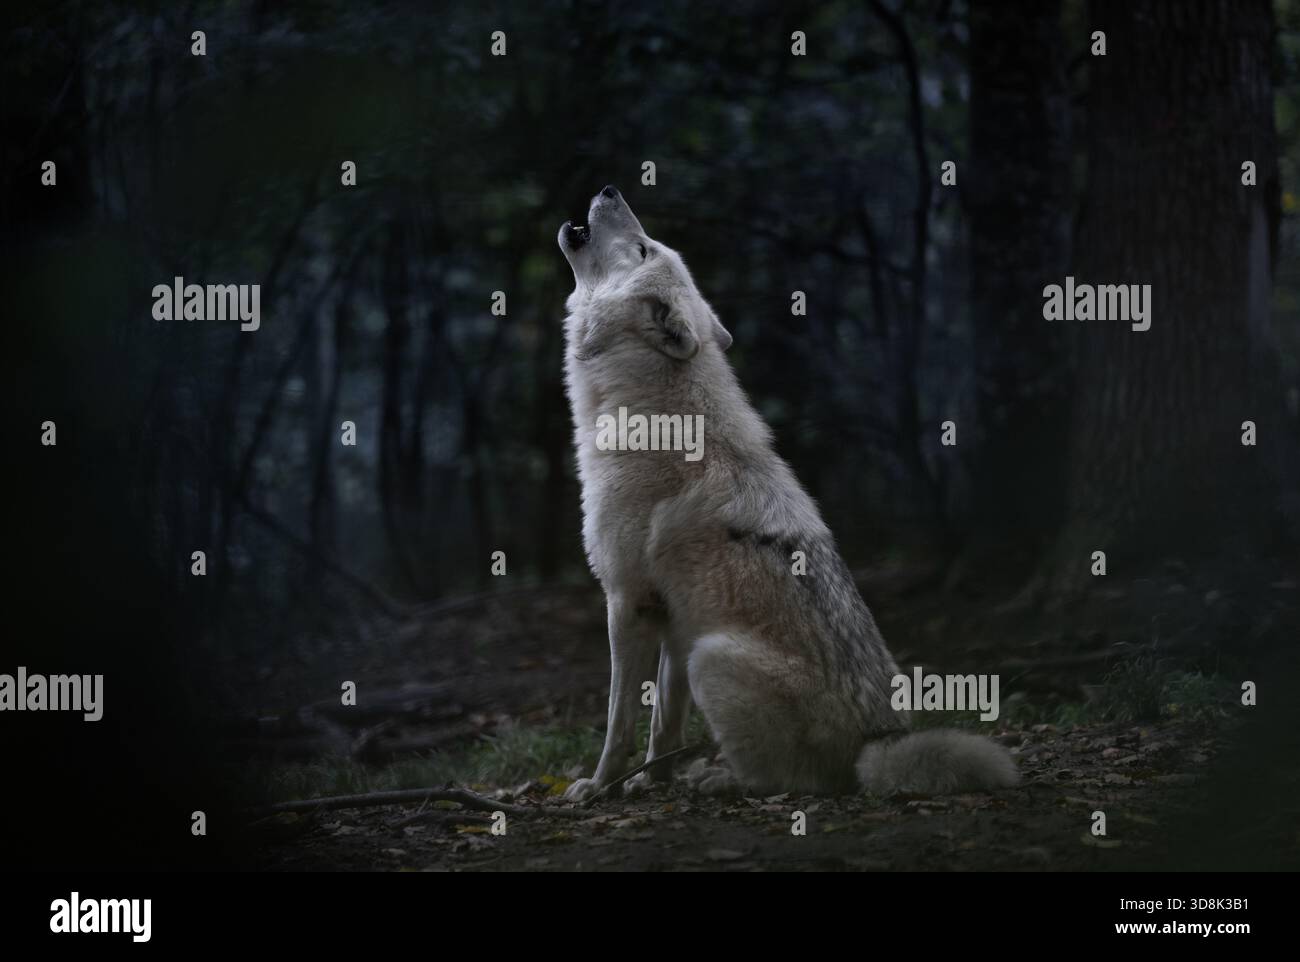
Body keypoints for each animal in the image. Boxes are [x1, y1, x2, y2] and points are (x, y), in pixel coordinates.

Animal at [557, 186, 1017, 801]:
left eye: (643, 247)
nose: (610, 189)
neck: (651, 408)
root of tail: (876, 741)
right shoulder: (675, 619)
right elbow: (663, 724)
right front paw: (650, 783)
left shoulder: (627, 602)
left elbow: (619, 720)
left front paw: (600, 786)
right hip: (699, 646)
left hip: (711, 656)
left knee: (789, 783)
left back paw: (719, 780)